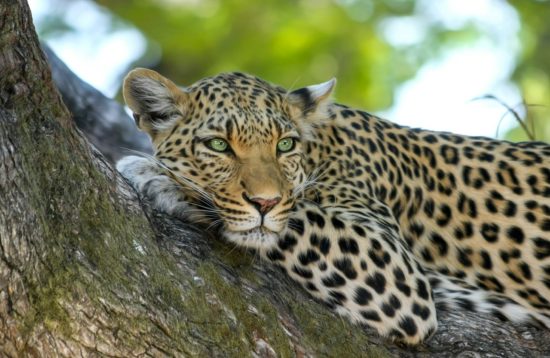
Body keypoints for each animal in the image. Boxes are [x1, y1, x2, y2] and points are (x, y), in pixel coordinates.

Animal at [117, 68, 550, 346]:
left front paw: (158, 176)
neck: (320, 149)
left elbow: (296, 217)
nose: (265, 201)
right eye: (218, 145)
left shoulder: (394, 269)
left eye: (284, 145)